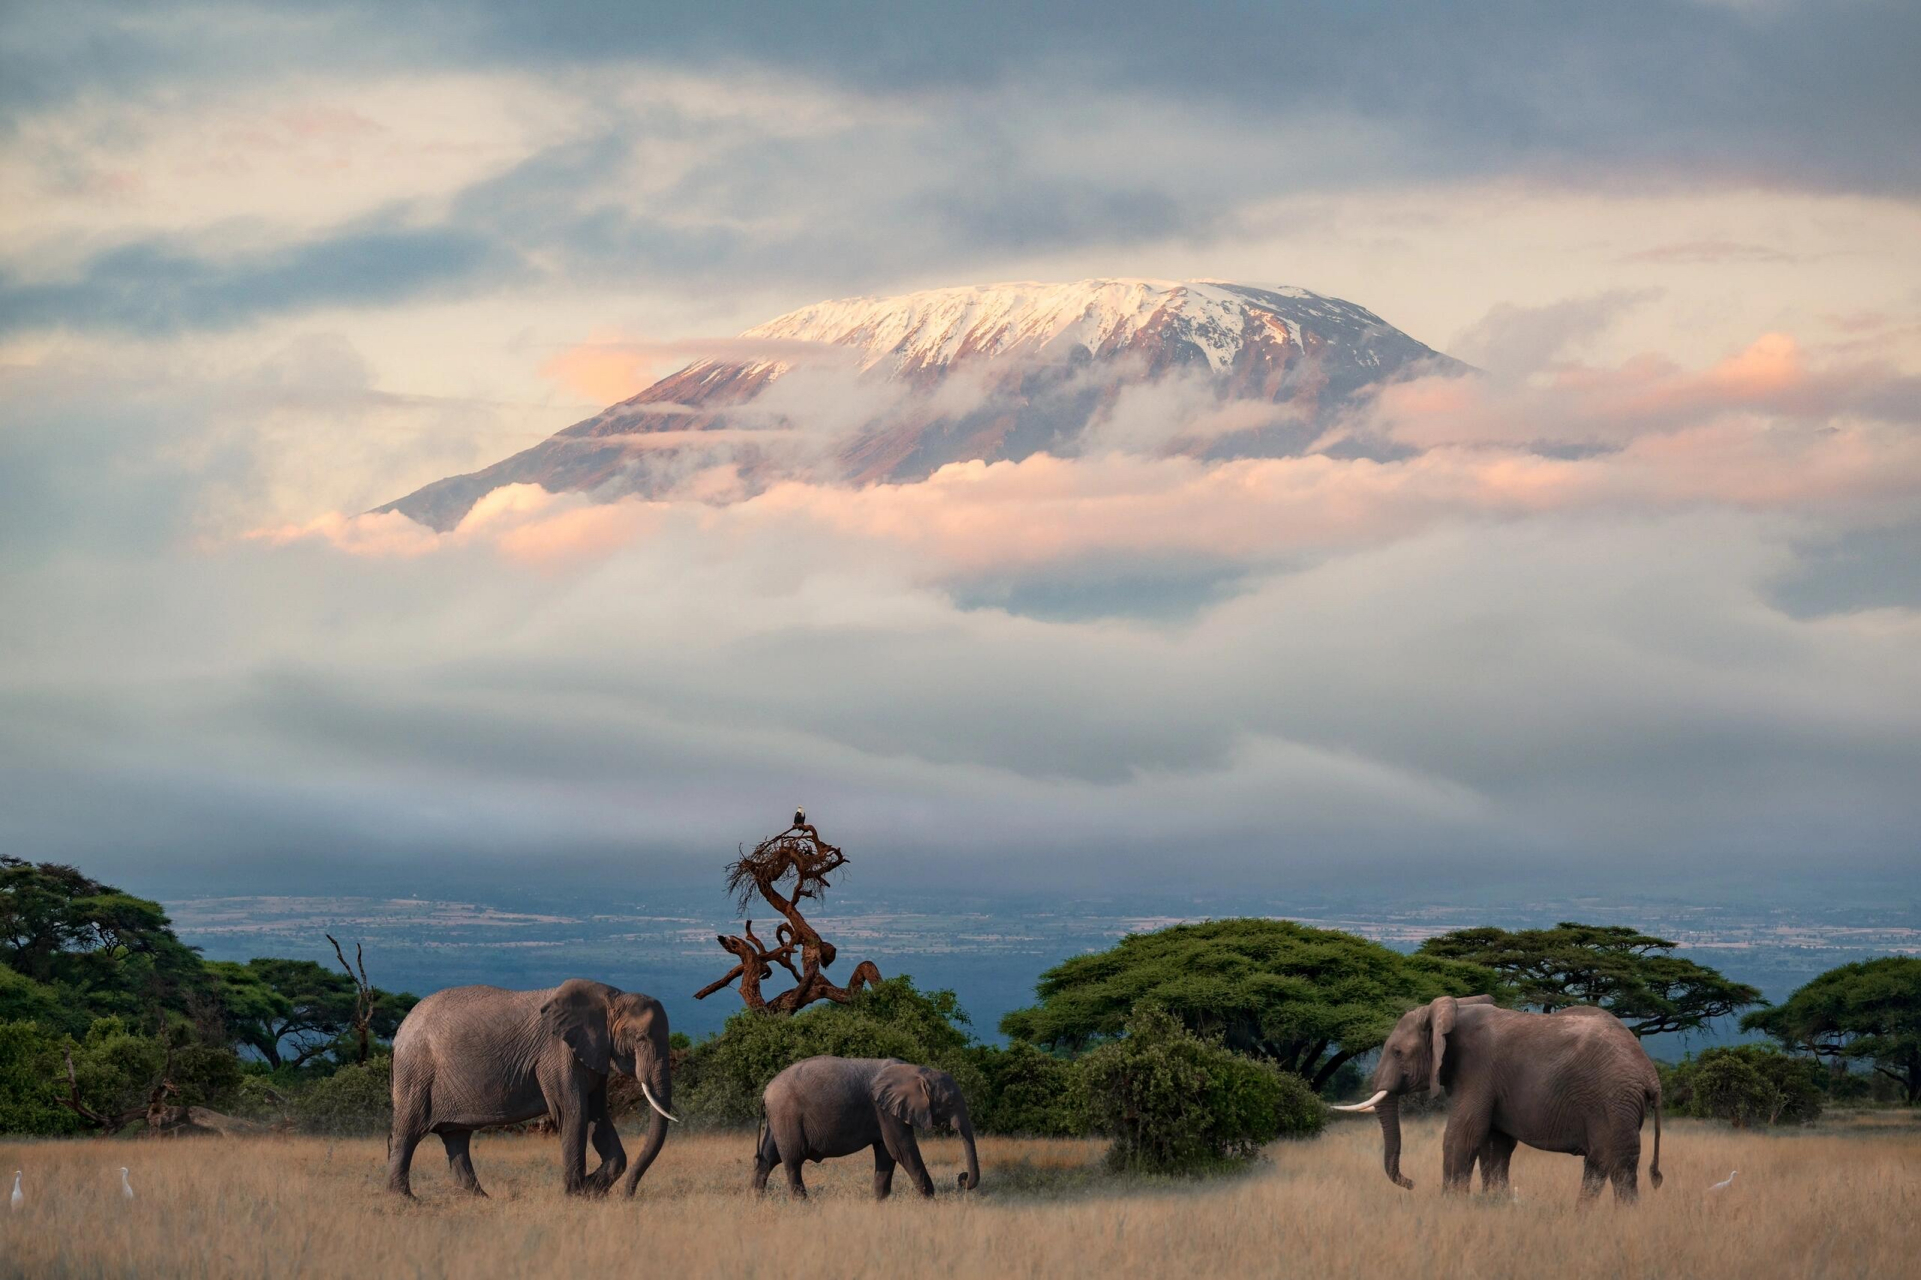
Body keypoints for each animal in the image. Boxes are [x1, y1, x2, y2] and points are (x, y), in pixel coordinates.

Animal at [386, 976, 680, 1199]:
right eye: (640, 1039)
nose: (628, 1195)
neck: (612, 997)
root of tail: (402, 1028)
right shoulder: (557, 1053)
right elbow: (574, 1113)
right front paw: (576, 1195)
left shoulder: (595, 1054)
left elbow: (598, 1118)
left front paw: (592, 1190)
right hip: (416, 1072)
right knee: (408, 1132)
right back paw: (404, 1199)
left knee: (456, 1137)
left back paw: (480, 1199)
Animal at [756, 1053, 983, 1191]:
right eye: (950, 1102)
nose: (962, 1178)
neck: (916, 1071)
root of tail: (766, 1091)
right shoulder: (884, 1110)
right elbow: (902, 1150)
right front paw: (930, 1202)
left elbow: (887, 1153)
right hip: (787, 1115)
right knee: (793, 1160)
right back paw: (803, 1203)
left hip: (779, 1118)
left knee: (768, 1157)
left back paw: (756, 1198)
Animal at [1329, 999, 1659, 1199]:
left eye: (1397, 1052)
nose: (1411, 1183)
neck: (1453, 1011)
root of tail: (1649, 1074)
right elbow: (1495, 1145)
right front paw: (1493, 1203)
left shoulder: (1477, 1071)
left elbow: (1461, 1137)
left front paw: (1449, 1205)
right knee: (1598, 1166)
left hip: (1614, 1102)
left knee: (1619, 1168)